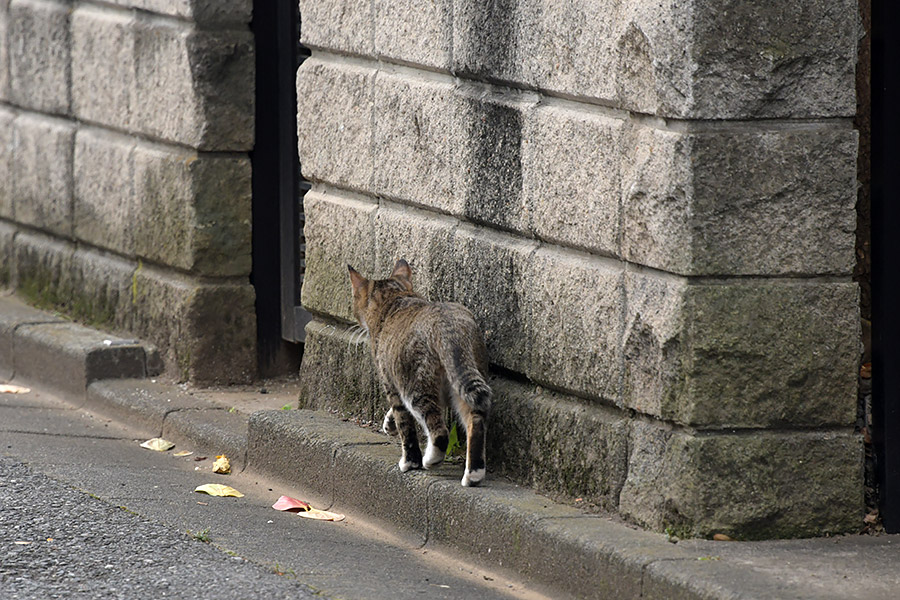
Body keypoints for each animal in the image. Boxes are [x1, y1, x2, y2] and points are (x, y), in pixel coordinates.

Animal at [350, 258, 492, 488]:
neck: (395, 299)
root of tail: (447, 325)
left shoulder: (391, 382)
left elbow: (404, 424)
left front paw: (410, 462)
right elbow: (396, 415)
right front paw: (388, 423)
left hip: (417, 386)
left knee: (439, 431)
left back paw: (430, 459)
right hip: (465, 377)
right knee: (475, 420)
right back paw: (474, 474)